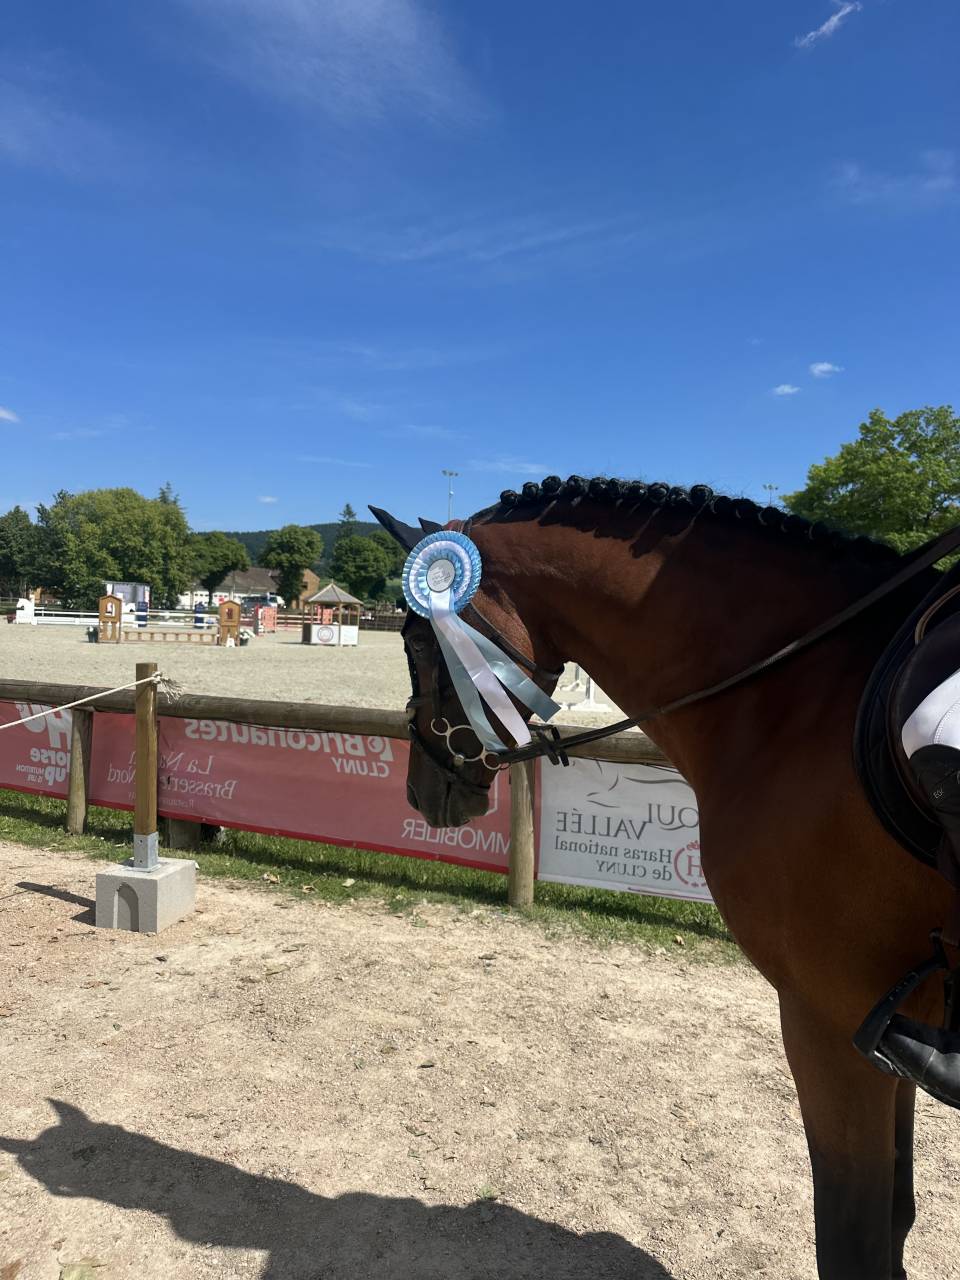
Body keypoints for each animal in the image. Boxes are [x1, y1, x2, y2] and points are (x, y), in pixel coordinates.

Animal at [372, 475, 960, 1280]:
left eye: (412, 639)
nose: (418, 793)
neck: (799, 695)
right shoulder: (887, 1028)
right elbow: (894, 1220)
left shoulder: (830, 1021)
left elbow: (854, 1239)